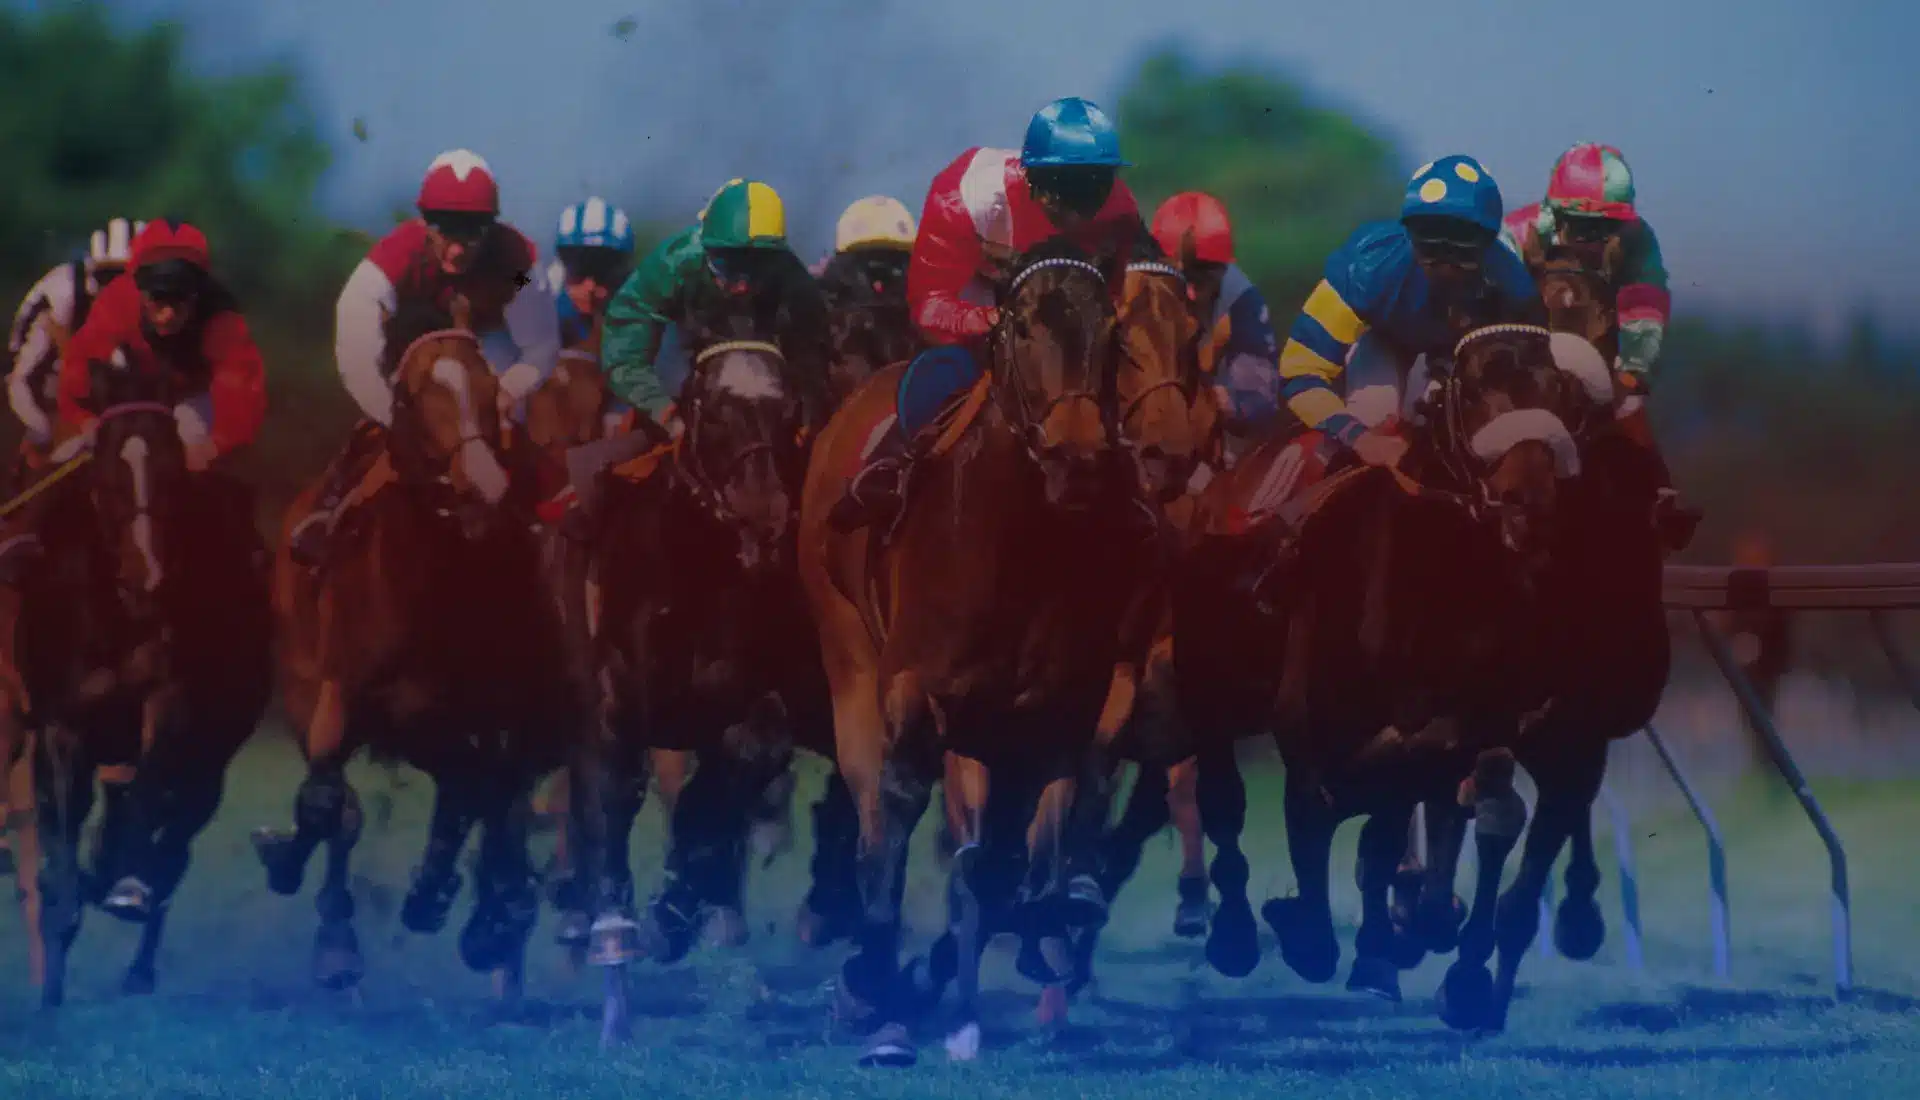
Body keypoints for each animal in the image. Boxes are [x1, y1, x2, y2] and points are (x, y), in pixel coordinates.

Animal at [255, 295, 583, 998]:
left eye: (489, 390)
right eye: (411, 396)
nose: (481, 485)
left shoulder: (488, 713)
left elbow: (487, 794)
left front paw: (476, 910)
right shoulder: (340, 696)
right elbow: (327, 802)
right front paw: (326, 927)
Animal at [794, 234, 1167, 1067]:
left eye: (1111, 333)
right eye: (1020, 326)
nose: (1079, 459)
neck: (1018, 548)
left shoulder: (1062, 707)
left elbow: (1033, 855)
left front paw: (1038, 930)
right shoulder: (914, 685)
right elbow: (905, 810)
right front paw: (875, 993)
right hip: (847, 659)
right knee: (874, 809)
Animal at [1175, 322, 1597, 1013]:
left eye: (1561, 392)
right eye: (1472, 390)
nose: (1527, 499)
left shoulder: (1459, 713)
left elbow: (1411, 789)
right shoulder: (1305, 717)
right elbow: (1311, 809)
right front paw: (1307, 928)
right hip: (1208, 683)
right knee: (1221, 797)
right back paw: (1235, 931)